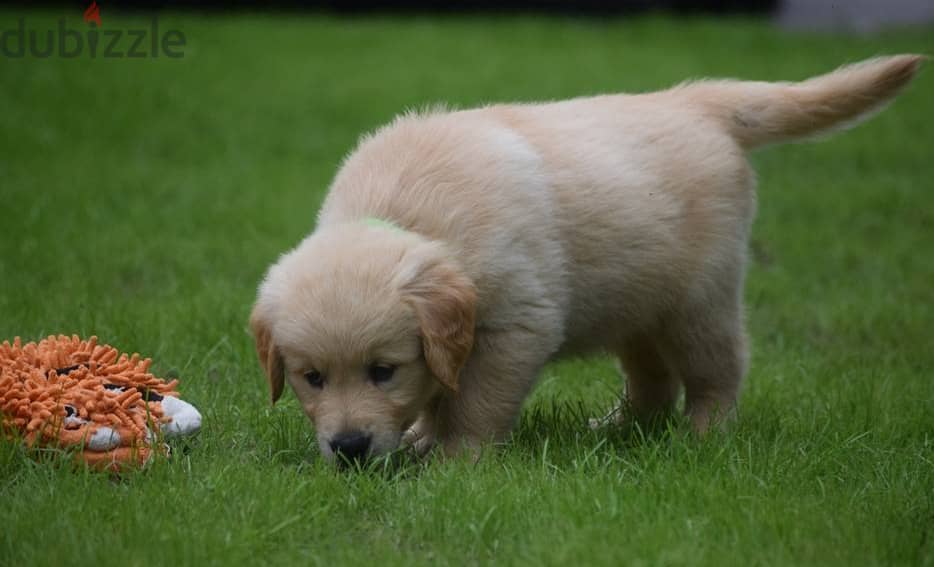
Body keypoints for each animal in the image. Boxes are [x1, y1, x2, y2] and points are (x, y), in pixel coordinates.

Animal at [252, 55, 924, 464]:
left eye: (383, 370)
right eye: (311, 378)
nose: (348, 447)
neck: (406, 210)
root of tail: (695, 101)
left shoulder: (516, 325)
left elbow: (474, 401)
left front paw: (454, 460)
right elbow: (443, 389)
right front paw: (419, 437)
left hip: (698, 300)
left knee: (719, 371)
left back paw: (703, 437)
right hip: (636, 302)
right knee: (652, 380)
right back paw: (619, 429)